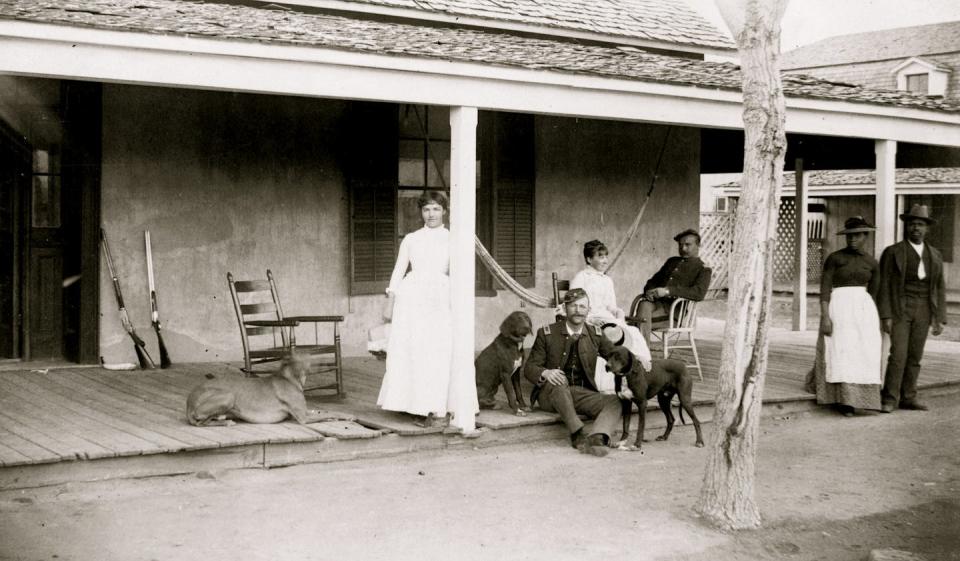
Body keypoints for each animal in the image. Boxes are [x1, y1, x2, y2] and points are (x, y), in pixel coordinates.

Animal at [186, 352, 332, 426]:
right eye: (307, 357)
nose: (324, 362)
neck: (289, 378)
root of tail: (189, 403)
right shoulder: (303, 418)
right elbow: (328, 415)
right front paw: (332, 417)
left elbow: (319, 411)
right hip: (228, 396)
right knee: (201, 421)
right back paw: (227, 422)